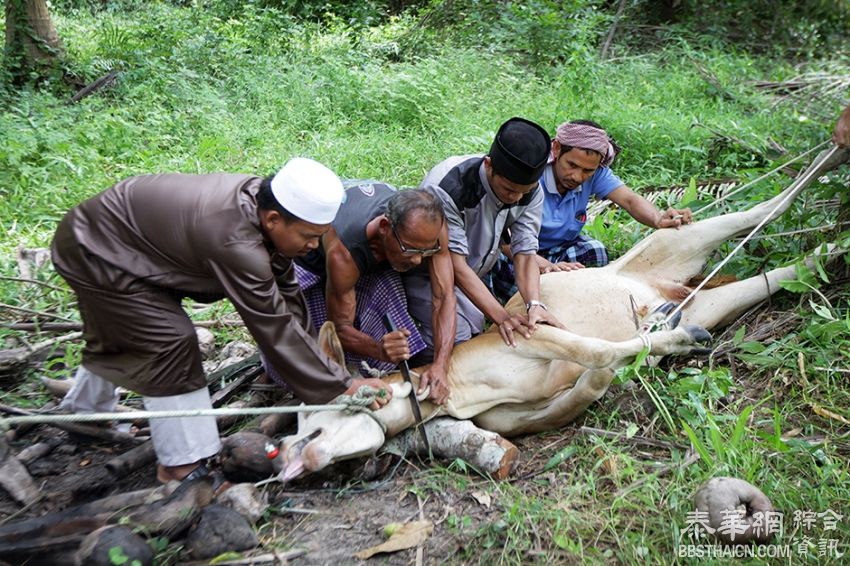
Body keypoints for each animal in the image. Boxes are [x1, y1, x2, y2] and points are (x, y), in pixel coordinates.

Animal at [272, 148, 840, 484]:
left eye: (311, 419)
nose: (283, 455)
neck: (462, 386)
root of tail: (660, 279)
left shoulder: (534, 333)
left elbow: (599, 350)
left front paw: (665, 340)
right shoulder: (513, 413)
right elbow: (583, 386)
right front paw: (651, 345)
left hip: (677, 237)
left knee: (765, 205)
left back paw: (830, 156)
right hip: (710, 291)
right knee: (780, 268)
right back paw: (826, 250)